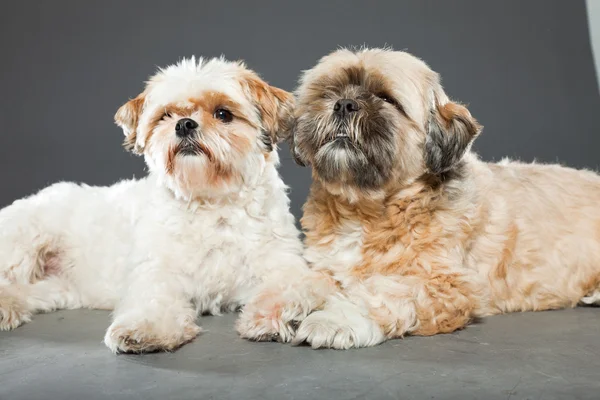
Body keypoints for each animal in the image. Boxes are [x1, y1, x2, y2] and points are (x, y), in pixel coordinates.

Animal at [0, 57, 312, 354]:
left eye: (223, 113)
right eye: (165, 116)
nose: (184, 124)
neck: (210, 202)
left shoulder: (281, 262)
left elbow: (286, 289)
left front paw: (276, 318)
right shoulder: (157, 271)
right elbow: (153, 300)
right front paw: (144, 329)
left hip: (55, 287)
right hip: (24, 241)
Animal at [258, 47, 600, 348]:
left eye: (387, 98)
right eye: (328, 92)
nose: (344, 104)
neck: (368, 210)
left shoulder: (445, 285)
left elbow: (380, 293)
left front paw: (334, 320)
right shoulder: (327, 267)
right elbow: (305, 282)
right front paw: (277, 309)